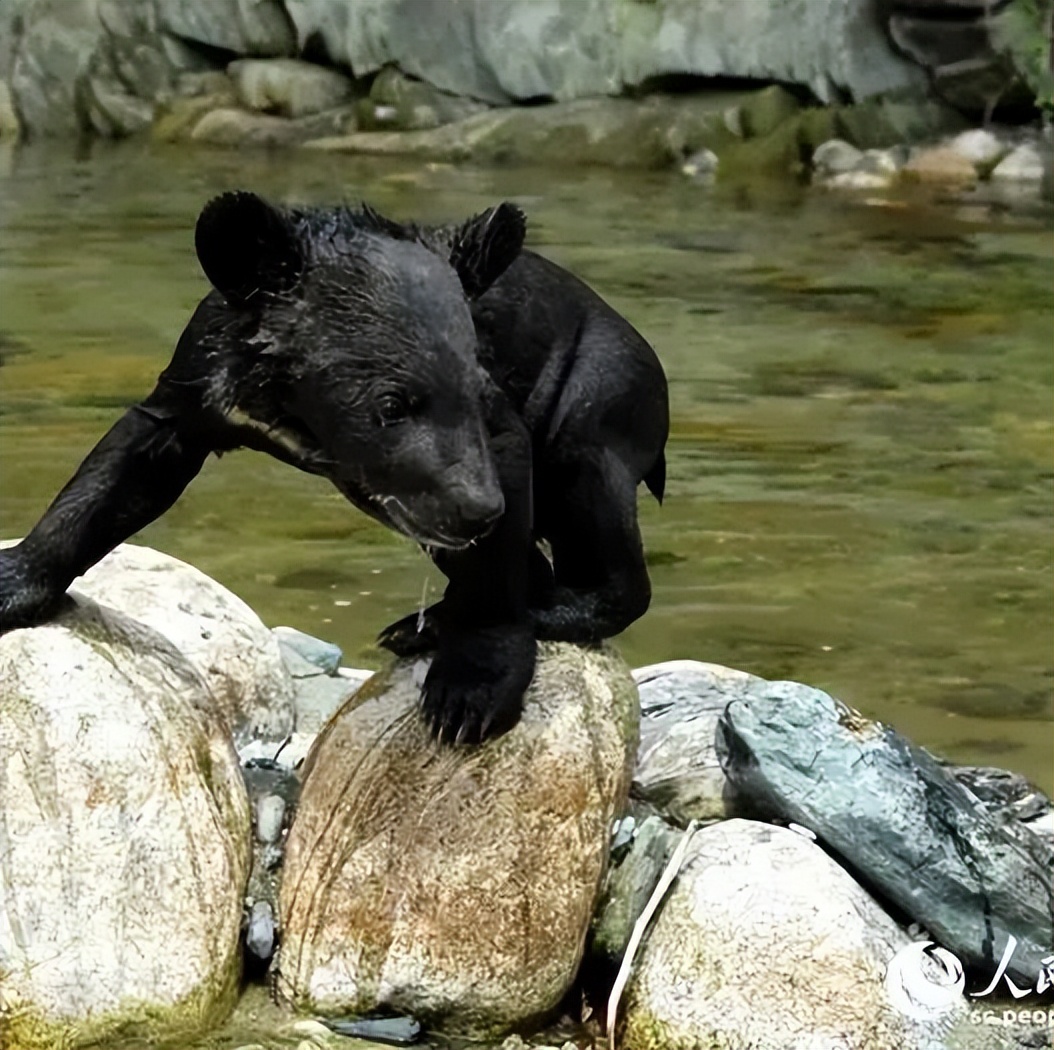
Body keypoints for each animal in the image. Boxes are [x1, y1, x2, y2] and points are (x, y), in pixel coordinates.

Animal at [0, 192, 670, 742]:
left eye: (475, 391)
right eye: (390, 405)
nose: (476, 509)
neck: (293, 408)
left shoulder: (500, 421)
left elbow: (504, 518)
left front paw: (470, 694)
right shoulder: (205, 378)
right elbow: (127, 470)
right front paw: (14, 583)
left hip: (598, 394)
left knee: (592, 507)